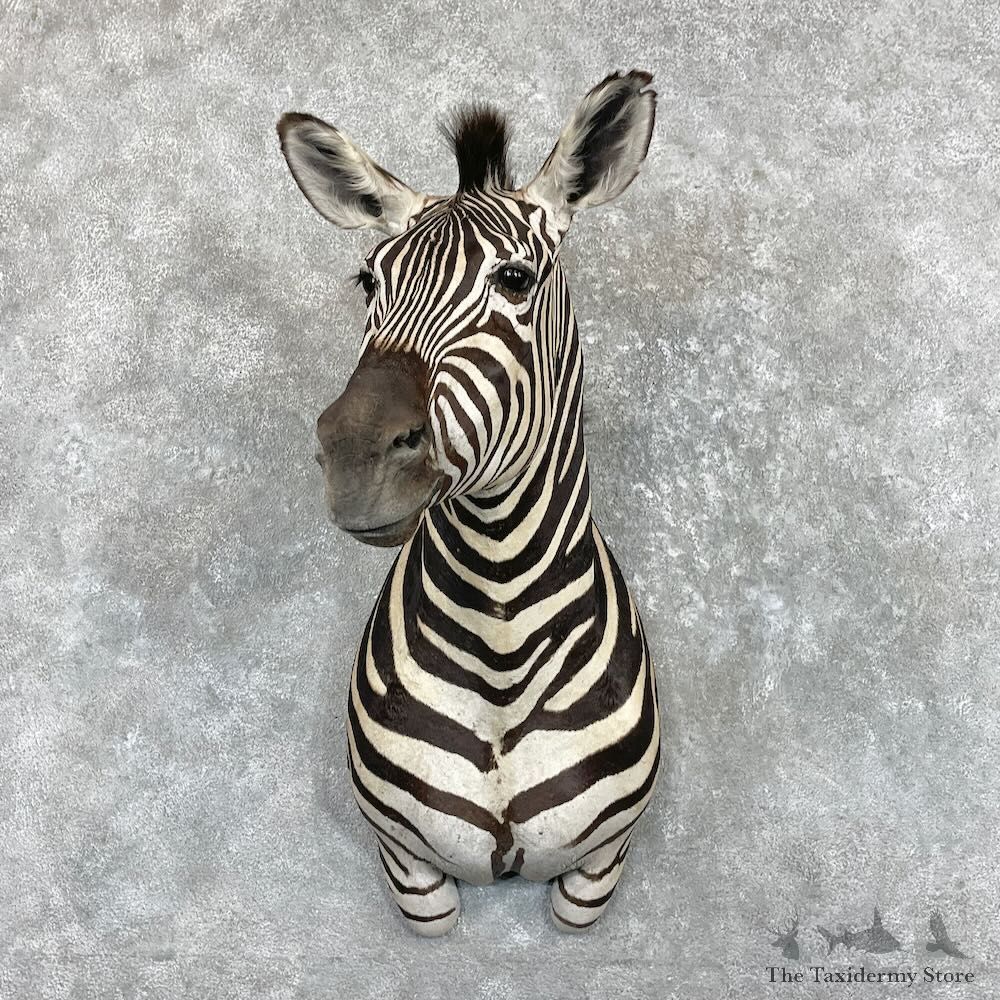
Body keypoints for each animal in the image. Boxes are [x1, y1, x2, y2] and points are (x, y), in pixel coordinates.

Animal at [278, 70, 661, 936]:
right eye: (368, 282)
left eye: (515, 280)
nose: (353, 456)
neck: (502, 649)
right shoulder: (410, 870)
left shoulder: (599, 869)